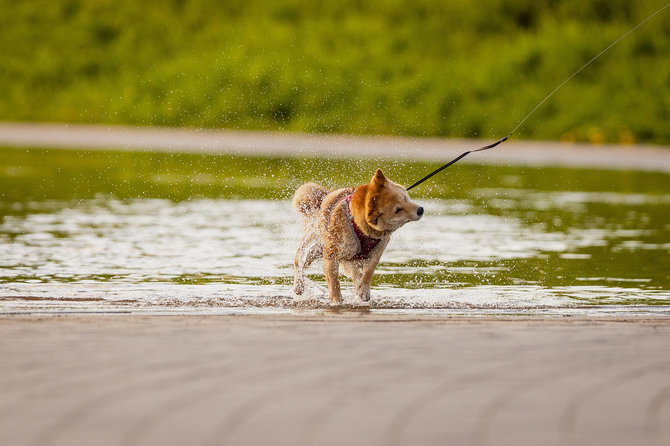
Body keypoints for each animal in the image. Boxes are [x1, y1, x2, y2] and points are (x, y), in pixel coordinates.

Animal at [292, 169, 422, 304]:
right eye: (397, 210)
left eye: (405, 198)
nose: (420, 210)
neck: (360, 227)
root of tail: (324, 197)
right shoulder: (332, 254)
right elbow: (334, 281)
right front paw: (338, 300)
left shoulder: (375, 253)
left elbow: (368, 272)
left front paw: (363, 292)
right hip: (315, 247)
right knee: (298, 262)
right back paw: (298, 286)